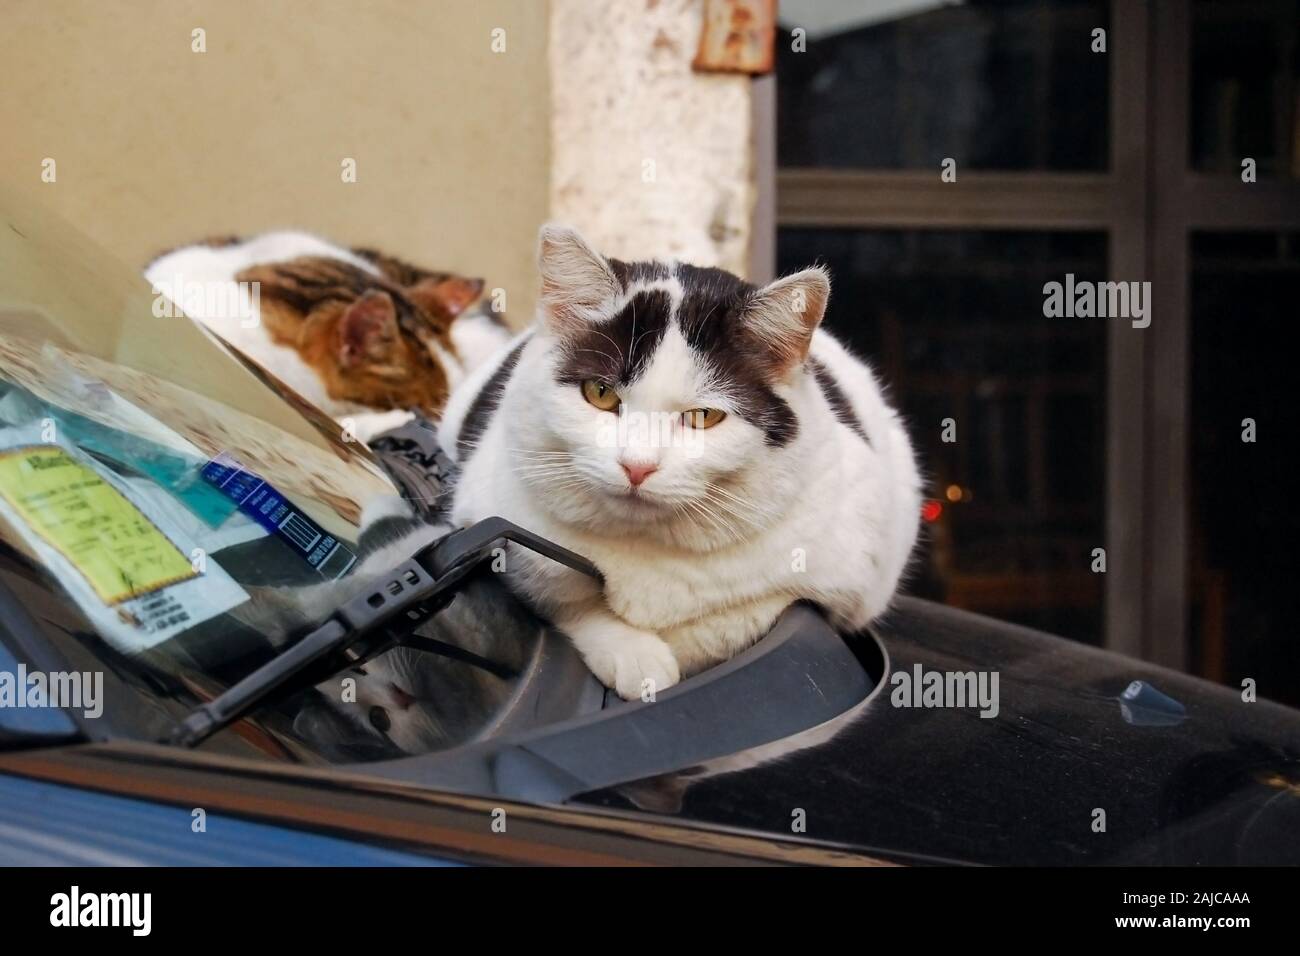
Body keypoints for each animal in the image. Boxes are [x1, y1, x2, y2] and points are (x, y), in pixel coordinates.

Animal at [439, 225, 925, 702]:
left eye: (703, 416)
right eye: (600, 393)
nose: (637, 465)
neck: (648, 543)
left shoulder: (855, 573)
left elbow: (745, 616)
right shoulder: (496, 521)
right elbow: (562, 596)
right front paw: (633, 653)